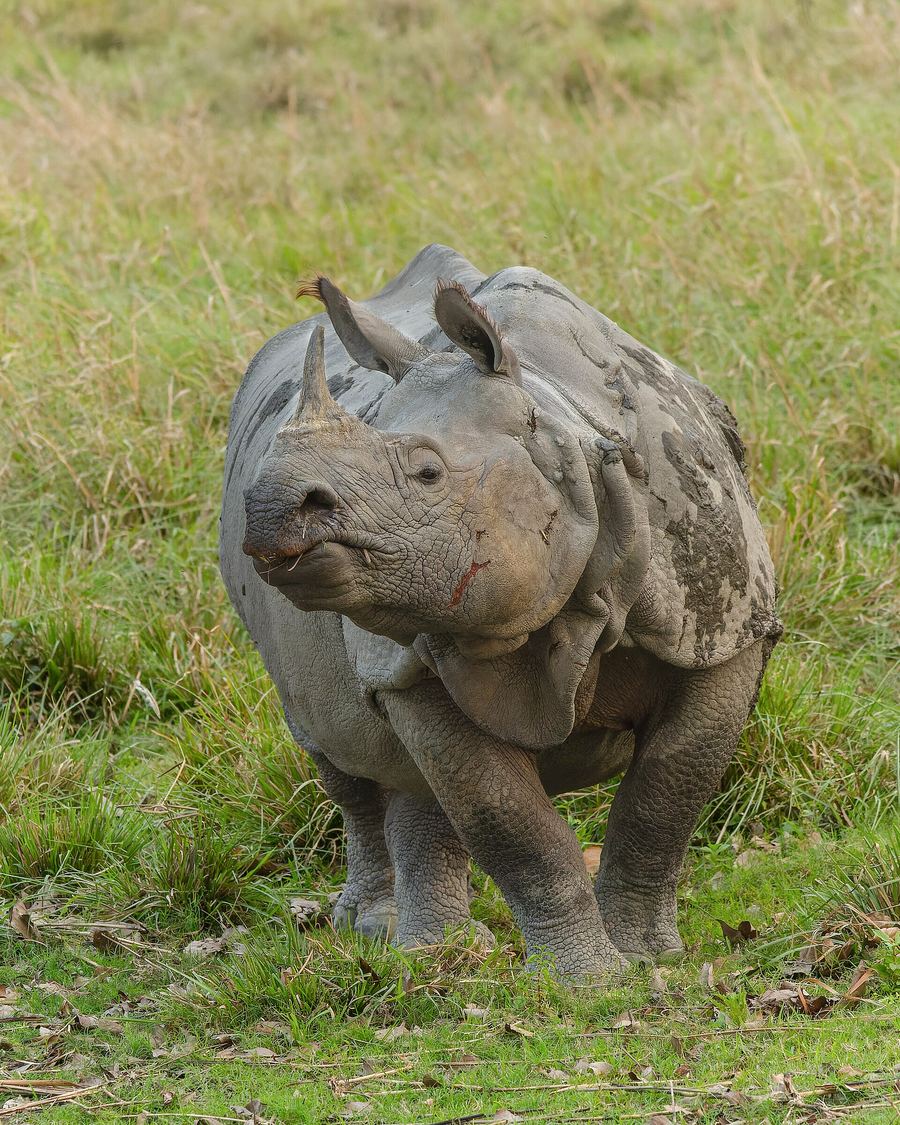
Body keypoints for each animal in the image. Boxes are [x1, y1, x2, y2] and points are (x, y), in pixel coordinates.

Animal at [220, 243, 781, 977]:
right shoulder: (408, 664)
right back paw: (399, 943)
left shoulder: (721, 626)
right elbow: (507, 821)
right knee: (345, 752)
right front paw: (588, 981)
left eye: (427, 473)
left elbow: (665, 796)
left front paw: (648, 959)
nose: (269, 507)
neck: (563, 430)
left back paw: (435, 951)